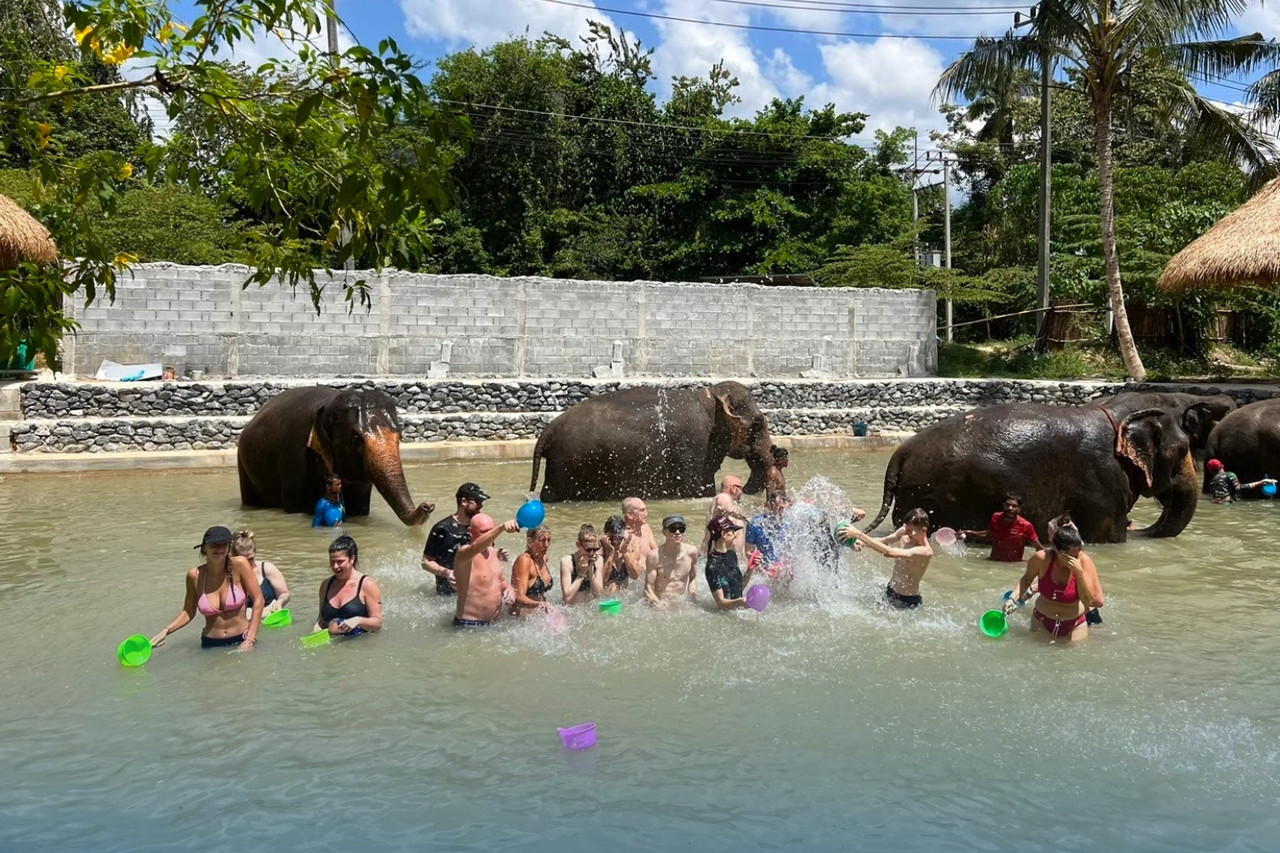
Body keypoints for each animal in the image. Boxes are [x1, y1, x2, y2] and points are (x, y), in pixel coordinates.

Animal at [237, 386, 434, 525]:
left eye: (400, 436)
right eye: (355, 438)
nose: (427, 505)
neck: (329, 403)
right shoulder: (294, 458)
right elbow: (295, 506)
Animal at [529, 381, 775, 502]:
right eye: (757, 424)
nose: (744, 488)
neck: (709, 396)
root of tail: (547, 432)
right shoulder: (694, 443)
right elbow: (694, 489)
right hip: (567, 464)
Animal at [863, 401, 1199, 543]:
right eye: (1183, 449)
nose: (1135, 527)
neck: (1120, 416)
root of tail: (899, 455)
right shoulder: (1104, 479)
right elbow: (1106, 534)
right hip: (931, 493)